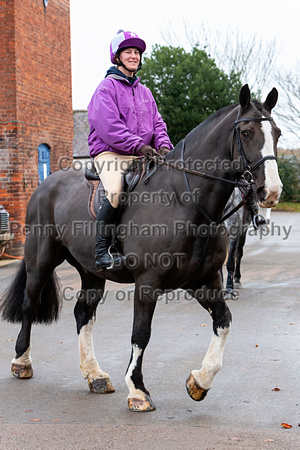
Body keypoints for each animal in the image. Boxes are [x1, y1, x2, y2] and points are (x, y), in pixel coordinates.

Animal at [0, 84, 282, 412]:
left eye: (276, 133)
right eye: (247, 133)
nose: (271, 191)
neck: (185, 200)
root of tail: (46, 184)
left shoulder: (204, 281)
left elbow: (223, 322)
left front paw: (199, 381)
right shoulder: (148, 283)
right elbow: (141, 333)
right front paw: (138, 391)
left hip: (91, 271)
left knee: (83, 313)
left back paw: (95, 375)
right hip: (41, 260)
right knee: (29, 305)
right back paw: (22, 362)